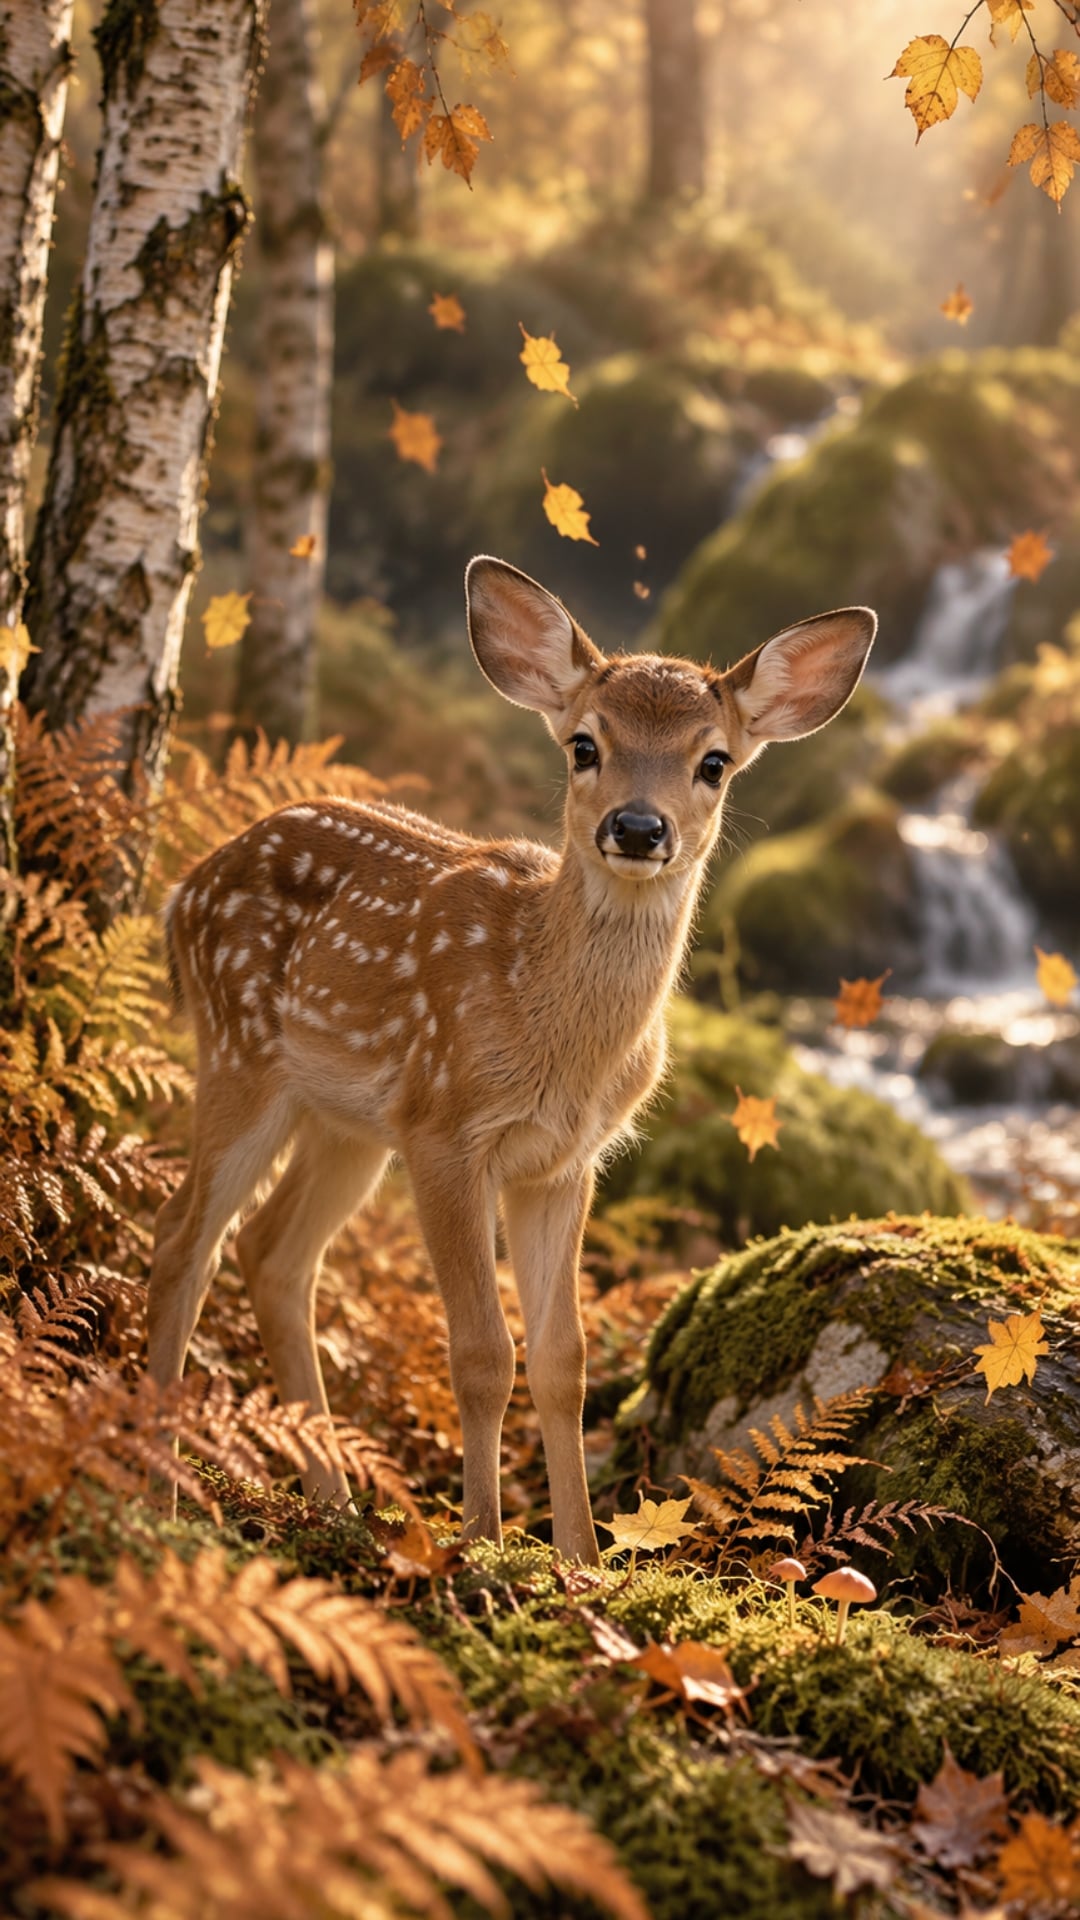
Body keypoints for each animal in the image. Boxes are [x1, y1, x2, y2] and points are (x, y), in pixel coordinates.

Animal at [149, 557, 876, 1564]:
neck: (554, 1032)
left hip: (349, 1123)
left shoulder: (564, 1161)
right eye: (584, 745)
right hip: (242, 1056)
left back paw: (335, 1506)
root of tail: (184, 888)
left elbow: (564, 1360)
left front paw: (581, 1561)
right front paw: (483, 1546)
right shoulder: (447, 1130)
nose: (639, 828)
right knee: (183, 1238)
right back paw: (159, 1480)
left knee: (273, 1255)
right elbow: (484, 1352)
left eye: (714, 762)